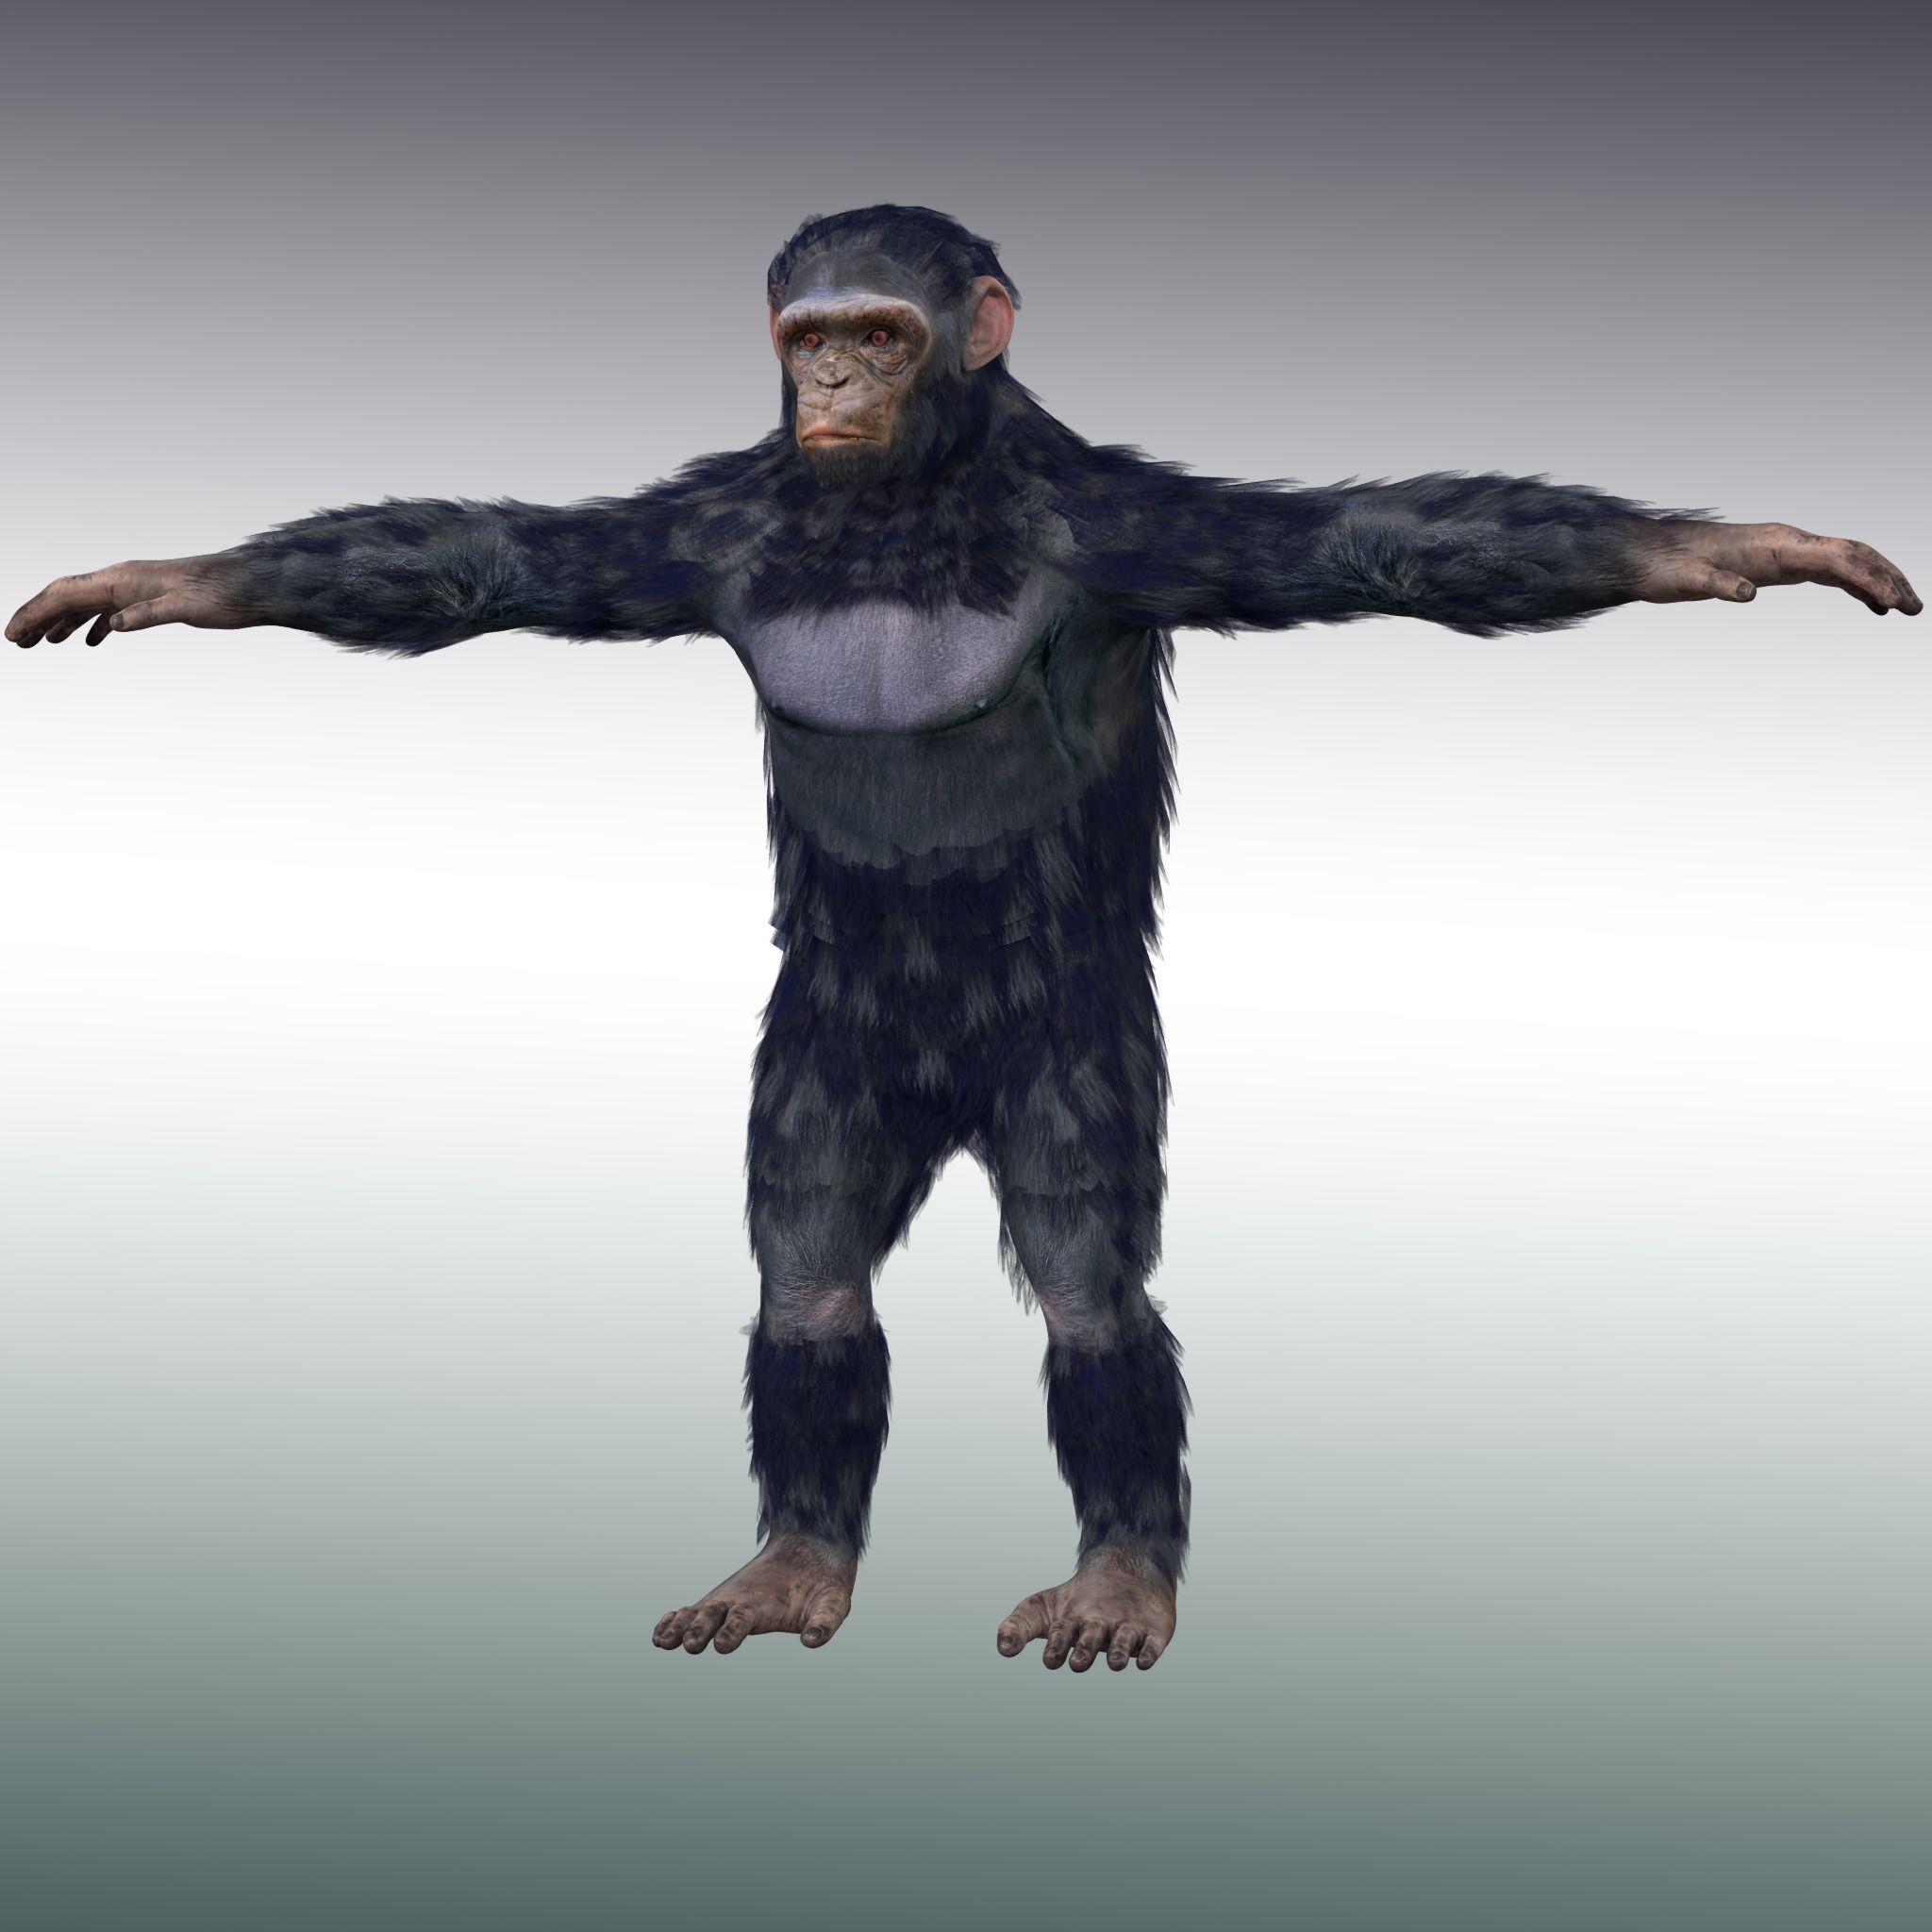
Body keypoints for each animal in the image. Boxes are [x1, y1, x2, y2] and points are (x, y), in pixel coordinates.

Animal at [10, 205, 1919, 1676]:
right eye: (807, 333)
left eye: (882, 328)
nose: (833, 383)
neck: (905, 506)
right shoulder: (697, 533)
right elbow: (481, 561)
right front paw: (166, 581)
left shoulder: (1137, 529)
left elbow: (1385, 539)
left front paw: (1729, 546)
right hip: (826, 1058)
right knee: (811, 1272)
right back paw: (795, 1559)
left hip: (1071, 1058)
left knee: (1088, 1292)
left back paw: (1119, 1577)